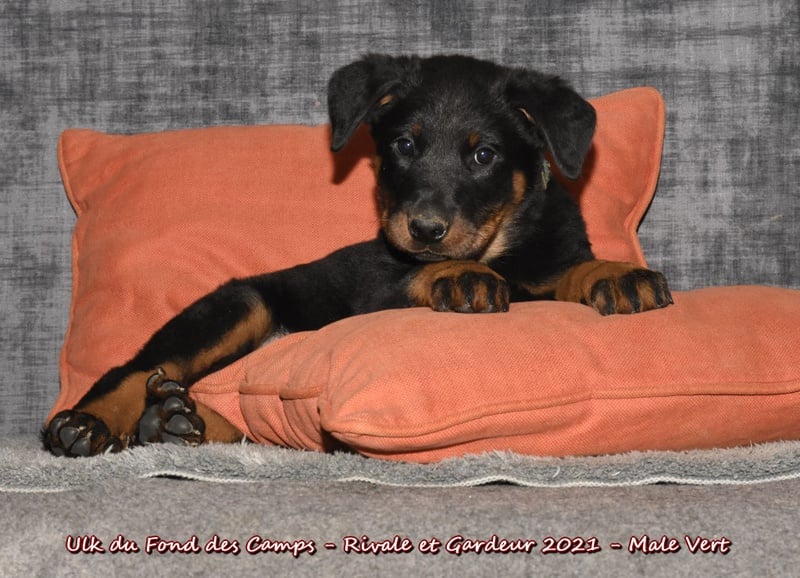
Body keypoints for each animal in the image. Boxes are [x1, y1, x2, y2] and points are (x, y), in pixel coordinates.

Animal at [43, 54, 672, 457]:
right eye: (405, 145)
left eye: (484, 155)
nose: (424, 229)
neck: (502, 247)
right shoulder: (377, 283)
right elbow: (417, 276)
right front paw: (460, 275)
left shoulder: (548, 262)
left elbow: (572, 268)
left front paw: (619, 274)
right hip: (242, 303)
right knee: (139, 367)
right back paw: (90, 423)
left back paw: (174, 424)